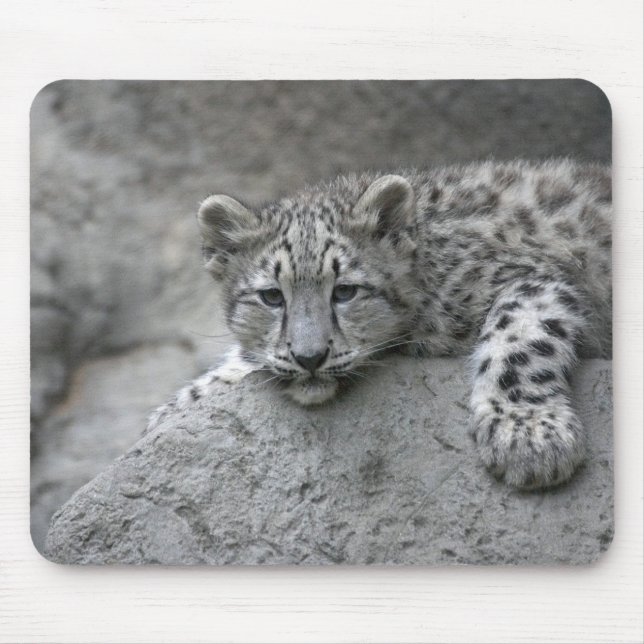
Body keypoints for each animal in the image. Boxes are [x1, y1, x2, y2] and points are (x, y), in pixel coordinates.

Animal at [147, 159, 611, 490]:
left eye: (345, 291)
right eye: (272, 296)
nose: (310, 357)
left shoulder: (536, 278)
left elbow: (519, 337)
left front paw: (529, 438)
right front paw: (172, 411)